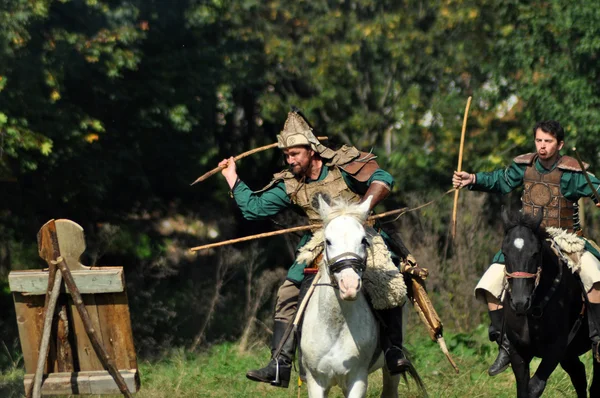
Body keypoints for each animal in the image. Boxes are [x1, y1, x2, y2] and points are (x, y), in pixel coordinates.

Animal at [300, 197, 404, 398]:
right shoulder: (315, 381)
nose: (349, 286)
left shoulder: (358, 379)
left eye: (364, 240)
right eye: (328, 241)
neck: (334, 328)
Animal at [502, 210, 600, 396]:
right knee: (579, 374)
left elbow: (534, 387)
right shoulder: (518, 351)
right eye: (504, 253)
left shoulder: (555, 349)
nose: (519, 302)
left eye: (535, 253)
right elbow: (523, 388)